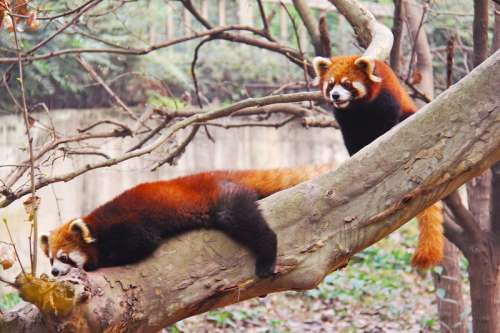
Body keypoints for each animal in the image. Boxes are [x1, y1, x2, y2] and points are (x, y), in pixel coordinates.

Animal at [40, 164, 332, 278]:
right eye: (50, 259)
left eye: (64, 257)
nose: (53, 272)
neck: (98, 224)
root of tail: (218, 173)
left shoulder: (130, 225)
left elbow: (140, 244)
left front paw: (95, 263)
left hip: (225, 200)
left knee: (249, 224)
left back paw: (267, 257)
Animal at [314, 53, 444, 268]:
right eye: (330, 84)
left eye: (347, 84)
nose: (335, 96)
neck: (358, 108)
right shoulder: (346, 120)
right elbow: (352, 139)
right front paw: (356, 154)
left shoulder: (386, 100)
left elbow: (386, 123)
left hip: (409, 113)